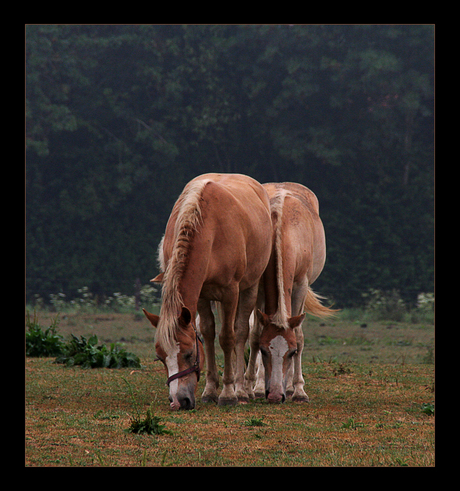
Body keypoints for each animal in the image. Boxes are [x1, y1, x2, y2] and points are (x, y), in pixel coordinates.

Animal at [143, 174, 274, 412]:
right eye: (160, 357)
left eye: (189, 354)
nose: (178, 401)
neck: (209, 230)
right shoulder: (202, 295)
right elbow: (208, 332)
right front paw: (211, 390)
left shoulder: (230, 292)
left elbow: (228, 338)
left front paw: (229, 393)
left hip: (250, 288)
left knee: (243, 332)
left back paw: (244, 389)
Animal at [244, 183, 338, 406]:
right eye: (264, 350)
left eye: (292, 352)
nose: (275, 395)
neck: (282, 231)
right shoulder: (258, 288)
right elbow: (255, 334)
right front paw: (251, 388)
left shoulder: (300, 285)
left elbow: (299, 335)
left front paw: (299, 390)